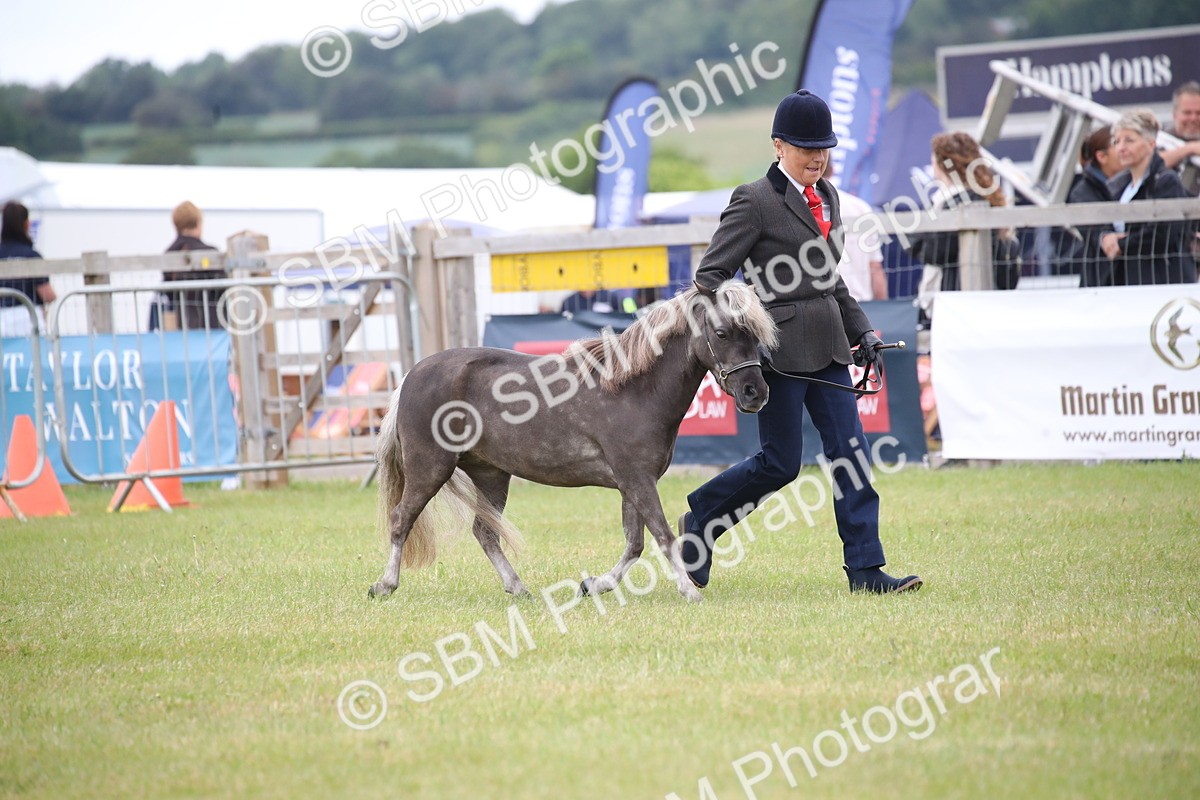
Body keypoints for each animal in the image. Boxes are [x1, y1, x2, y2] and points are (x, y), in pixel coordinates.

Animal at [368, 280, 779, 603]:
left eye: (754, 334)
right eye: (722, 332)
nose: (755, 394)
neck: (633, 389)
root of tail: (411, 375)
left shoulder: (631, 484)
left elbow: (635, 543)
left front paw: (596, 585)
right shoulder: (637, 480)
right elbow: (661, 535)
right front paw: (688, 590)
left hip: (491, 475)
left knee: (484, 533)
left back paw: (518, 587)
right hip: (430, 467)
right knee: (401, 519)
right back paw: (385, 585)